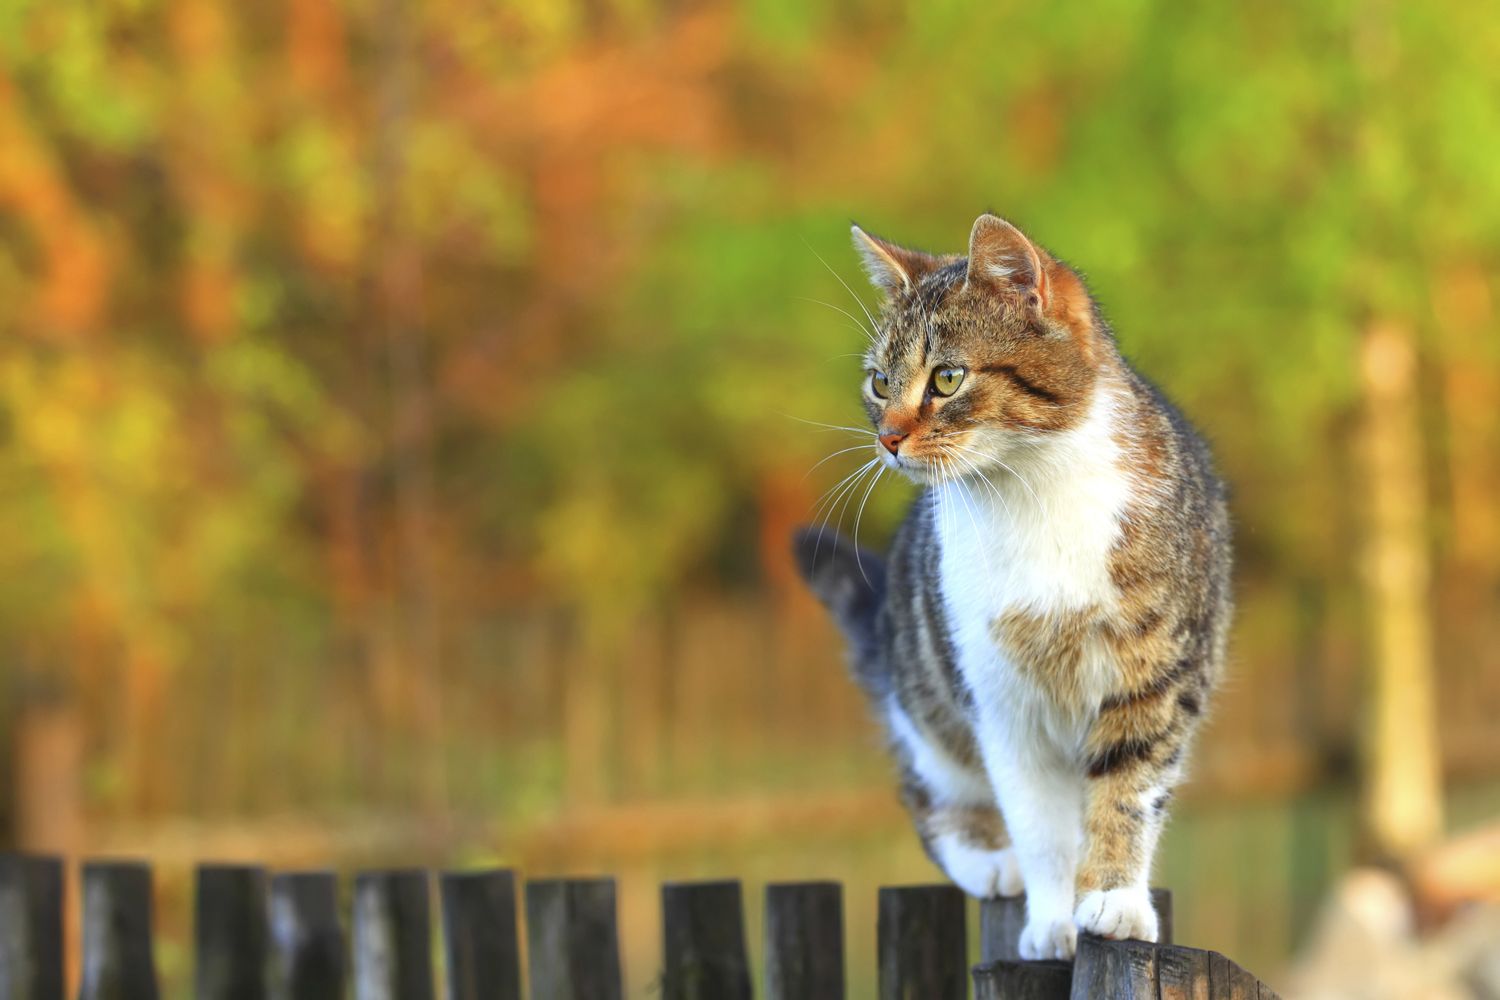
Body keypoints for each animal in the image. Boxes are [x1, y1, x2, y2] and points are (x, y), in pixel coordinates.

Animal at [798, 212, 1230, 959]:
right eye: (880, 382)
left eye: (946, 378)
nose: (887, 439)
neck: (1030, 492)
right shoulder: (1001, 702)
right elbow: (1038, 824)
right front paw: (1052, 920)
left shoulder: (1158, 676)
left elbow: (1129, 789)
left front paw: (1114, 899)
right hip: (927, 703)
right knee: (927, 791)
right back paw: (988, 861)